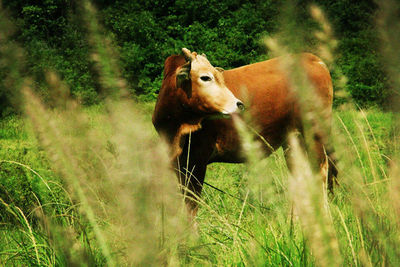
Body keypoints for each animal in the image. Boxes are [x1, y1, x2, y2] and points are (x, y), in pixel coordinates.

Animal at [153, 48, 338, 219]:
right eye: (205, 77)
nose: (239, 104)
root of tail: (314, 60)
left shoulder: (197, 160)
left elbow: (191, 205)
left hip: (315, 135)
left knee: (321, 174)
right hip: (294, 140)